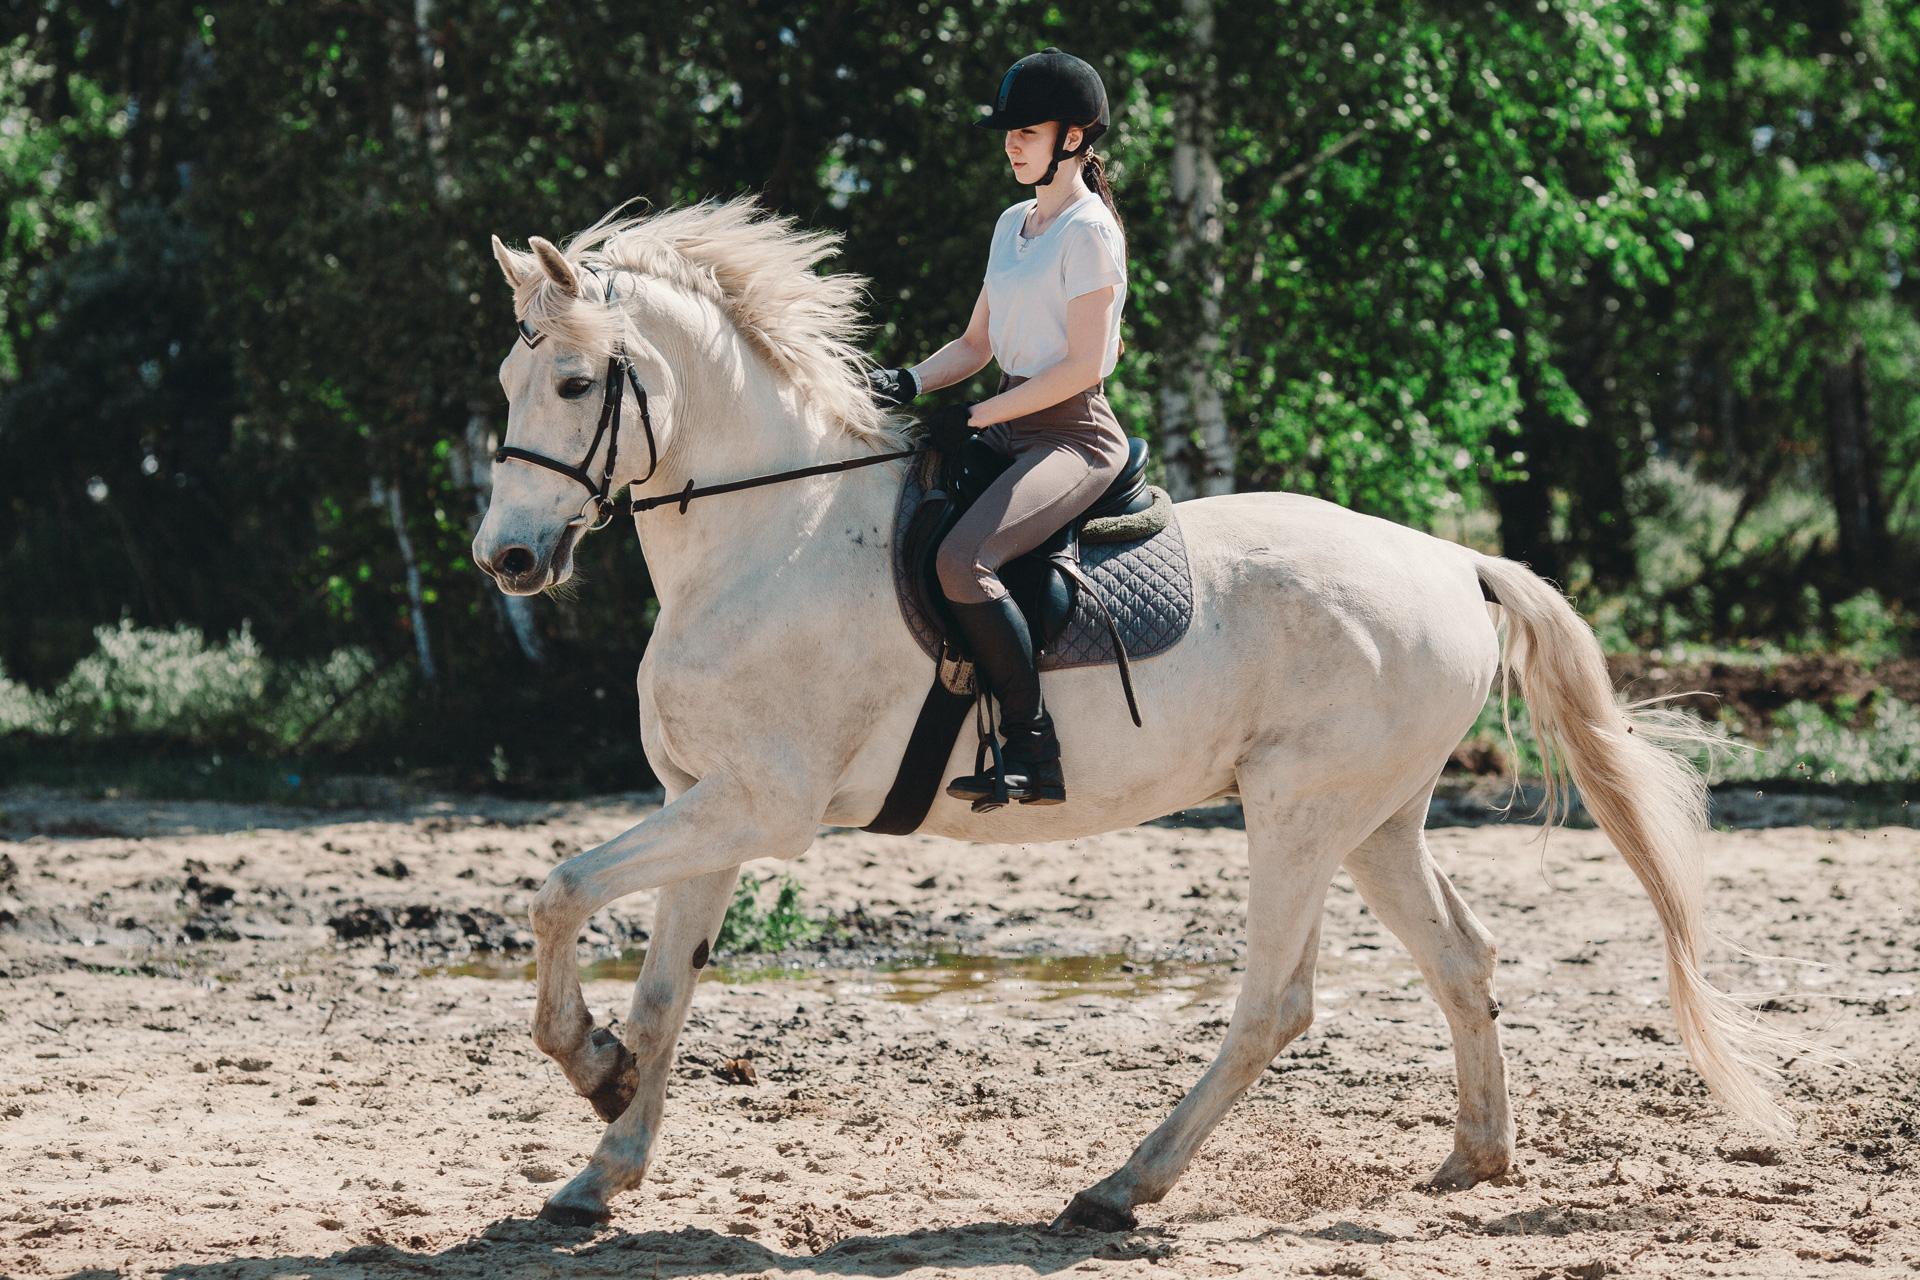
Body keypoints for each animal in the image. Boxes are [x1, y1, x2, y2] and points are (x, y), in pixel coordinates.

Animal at [472, 195, 1789, 1228]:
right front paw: (603, 1152)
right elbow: (662, 986)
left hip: (1297, 812)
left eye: (578, 382)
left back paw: (1120, 1186)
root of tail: (1452, 559)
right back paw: (1475, 1156)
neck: (770, 534)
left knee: (1275, 1001)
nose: (509, 560)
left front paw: (589, 1067)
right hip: (1376, 818)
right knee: (1463, 958)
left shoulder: (762, 806)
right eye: (507, 382)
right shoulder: (704, 804)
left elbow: (556, 890)